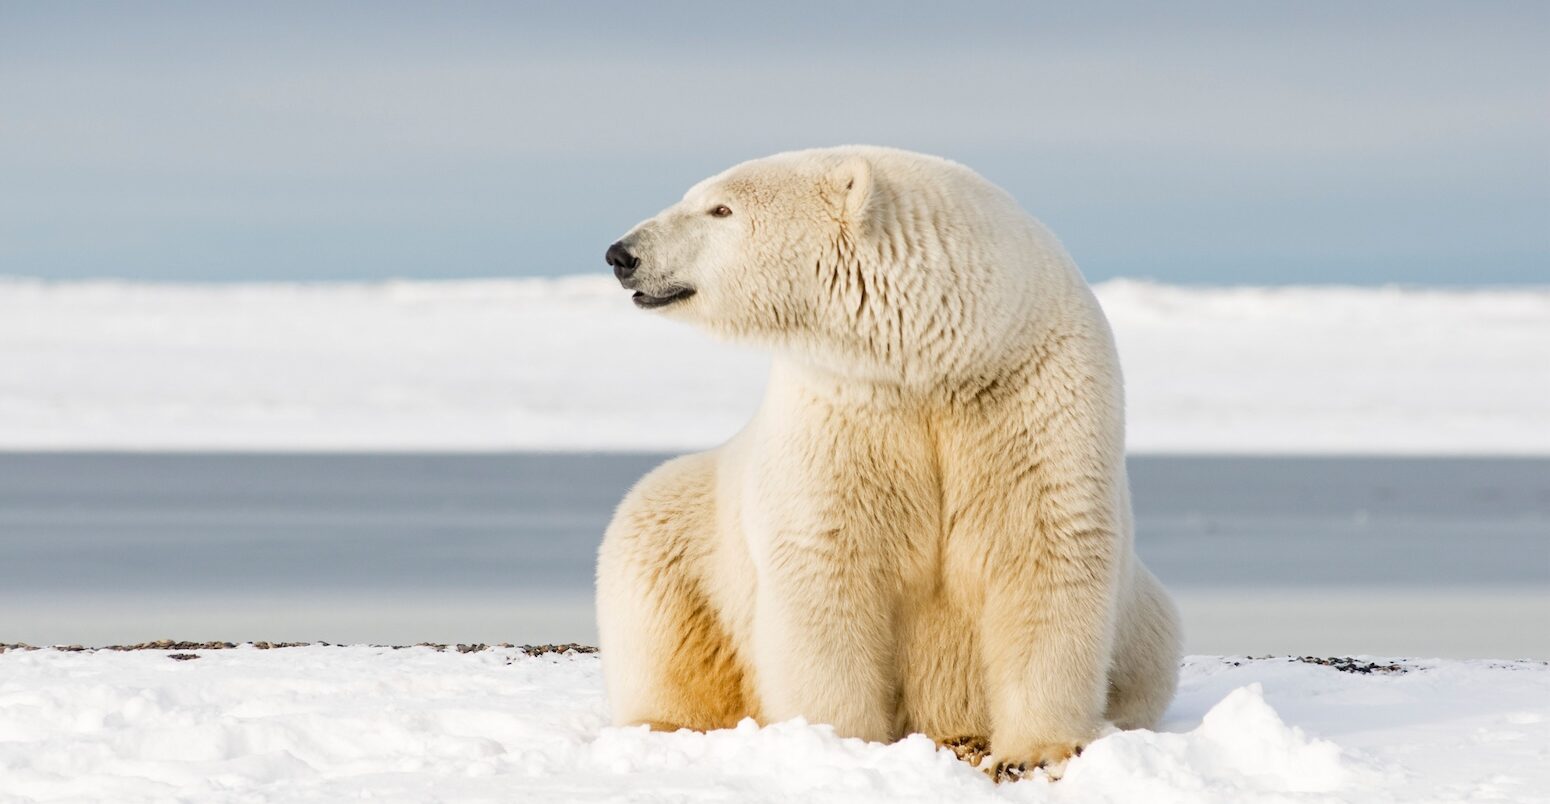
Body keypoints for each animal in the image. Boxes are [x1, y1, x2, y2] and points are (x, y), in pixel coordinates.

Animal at [598, 146, 1178, 780]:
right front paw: (839, 740)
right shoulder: (844, 407)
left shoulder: (1033, 396)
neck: (942, 359)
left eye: (720, 208)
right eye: (699, 197)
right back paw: (666, 723)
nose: (622, 254)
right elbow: (827, 562)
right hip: (686, 527)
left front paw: (1038, 750)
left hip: (1147, 623)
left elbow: (1043, 548)